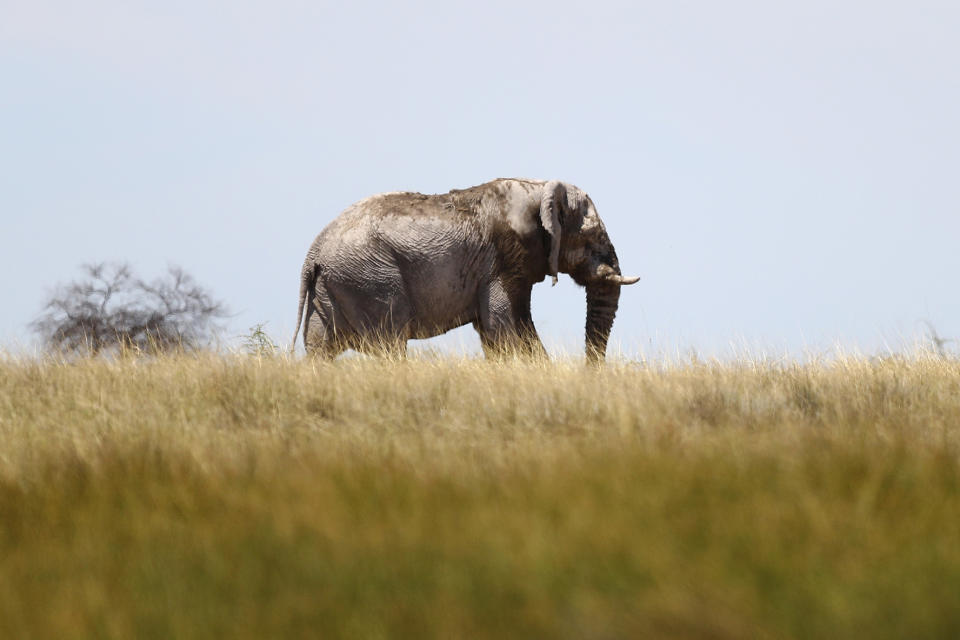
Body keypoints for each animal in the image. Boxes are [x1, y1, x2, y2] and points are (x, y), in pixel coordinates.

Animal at [288, 178, 640, 362]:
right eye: (591, 238)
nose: (589, 371)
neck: (539, 189)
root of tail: (312, 254)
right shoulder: (502, 258)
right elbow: (501, 324)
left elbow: (514, 325)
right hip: (370, 278)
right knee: (390, 343)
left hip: (333, 285)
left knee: (320, 349)